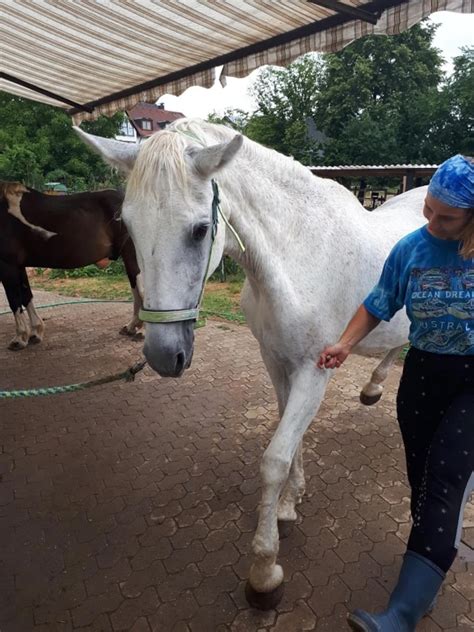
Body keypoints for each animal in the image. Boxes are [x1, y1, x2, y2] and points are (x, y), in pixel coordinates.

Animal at [0, 183, 143, 350]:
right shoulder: (19, 266)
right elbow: (26, 296)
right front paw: (35, 333)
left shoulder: (7, 265)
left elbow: (14, 301)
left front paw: (19, 339)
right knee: (136, 289)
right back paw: (131, 327)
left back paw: (141, 332)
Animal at [75, 121, 426, 608]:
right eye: (127, 224)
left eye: (201, 229)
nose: (163, 356)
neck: (298, 259)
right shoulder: (276, 363)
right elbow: (289, 436)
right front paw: (289, 505)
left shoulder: (315, 372)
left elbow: (274, 458)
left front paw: (264, 570)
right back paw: (373, 387)